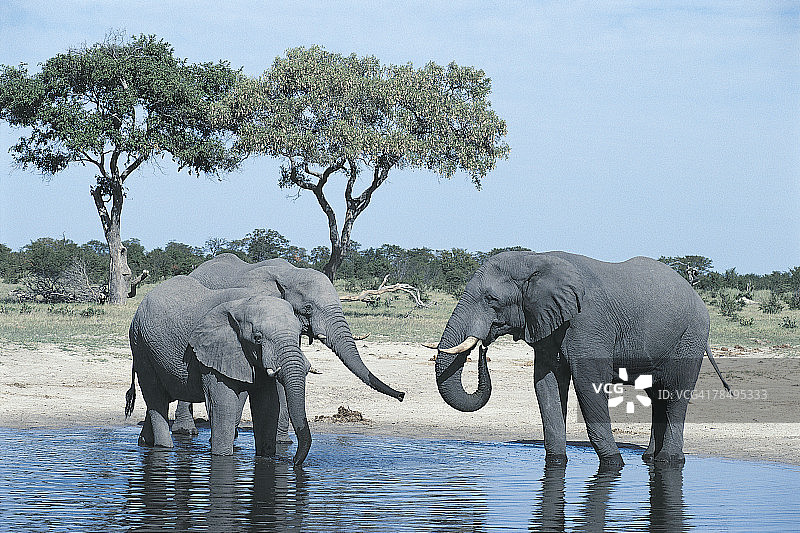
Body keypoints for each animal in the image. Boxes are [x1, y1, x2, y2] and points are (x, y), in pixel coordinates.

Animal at [125, 275, 313, 464]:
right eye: (258, 338)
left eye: (299, 334)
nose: (295, 461)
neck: (243, 303)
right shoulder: (213, 352)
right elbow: (223, 405)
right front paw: (222, 457)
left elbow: (268, 406)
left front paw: (266, 457)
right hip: (141, 347)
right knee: (156, 399)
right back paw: (163, 447)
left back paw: (144, 443)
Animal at [433, 251, 729, 467]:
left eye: (491, 299)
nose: (484, 347)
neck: (535, 260)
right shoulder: (546, 323)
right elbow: (547, 385)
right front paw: (556, 462)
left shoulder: (589, 323)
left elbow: (589, 384)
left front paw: (614, 464)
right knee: (659, 396)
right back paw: (649, 459)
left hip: (691, 335)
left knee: (677, 394)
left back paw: (669, 461)